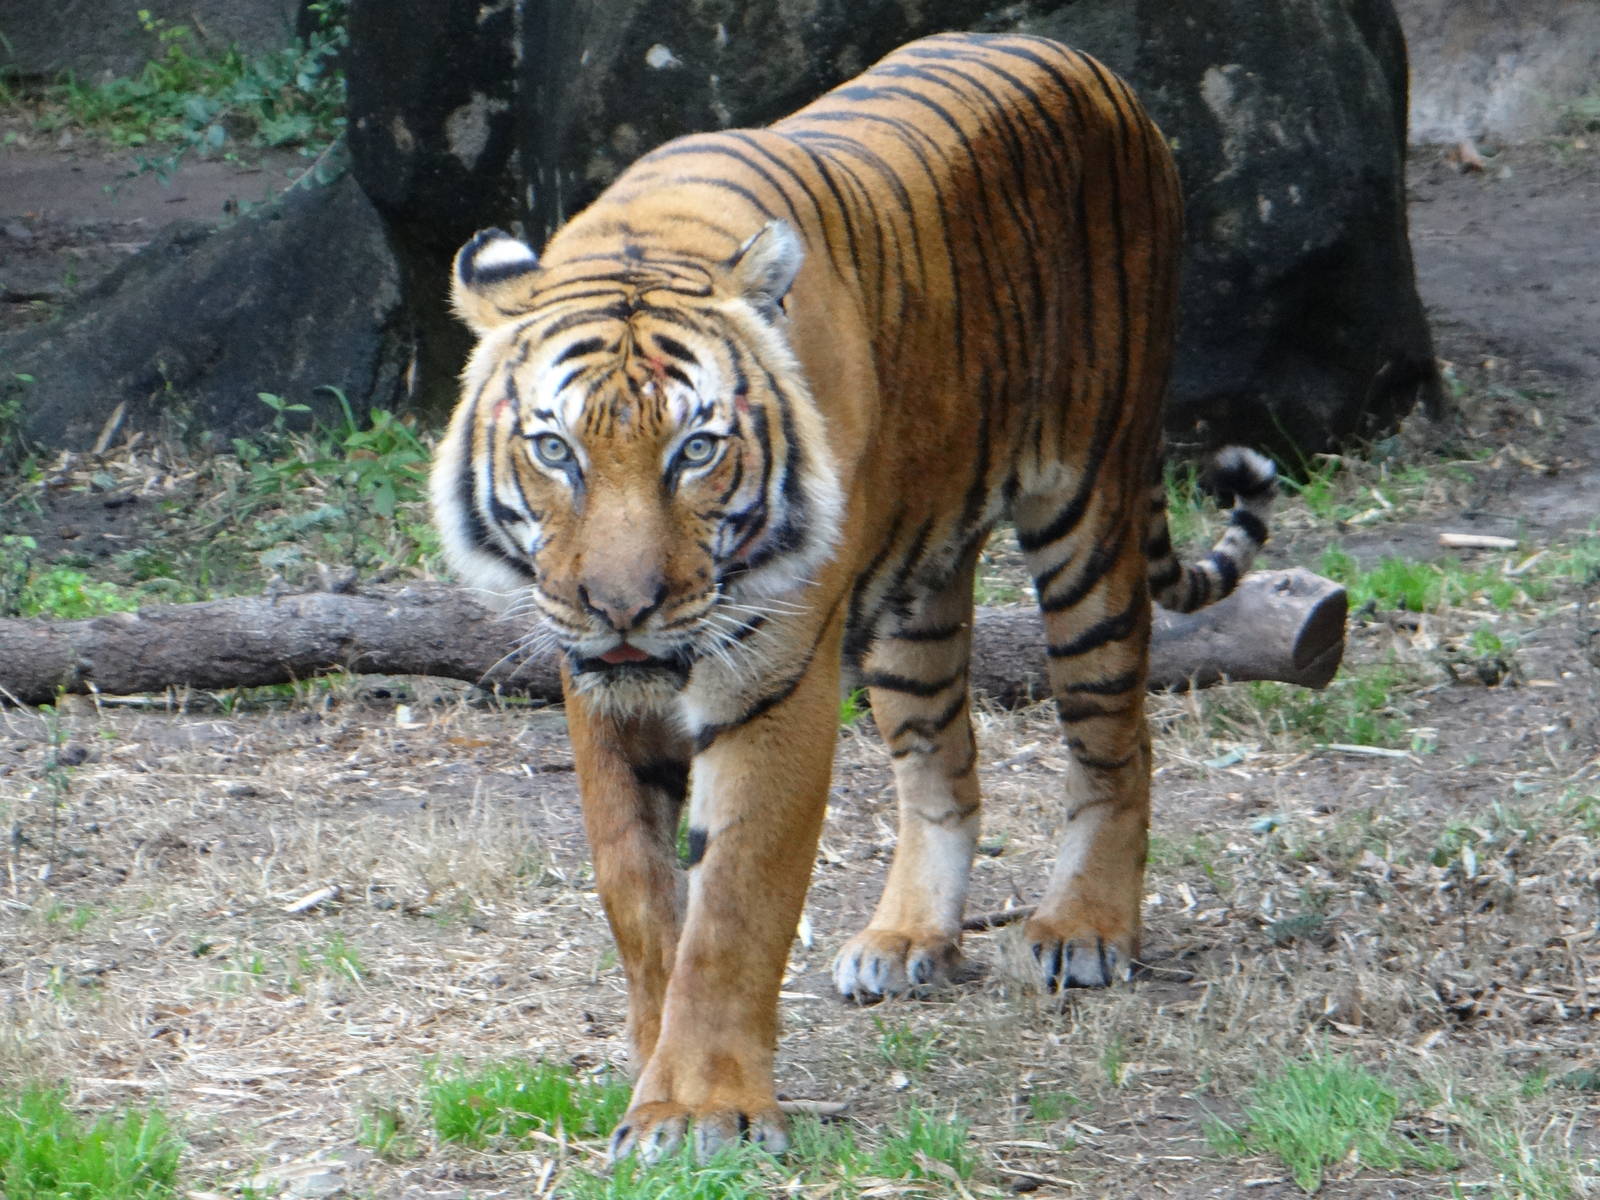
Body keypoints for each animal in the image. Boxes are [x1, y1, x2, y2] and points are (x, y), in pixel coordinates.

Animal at [430, 31, 1275, 1162]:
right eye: (555, 450)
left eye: (695, 450)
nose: (623, 607)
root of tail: (1080, 59)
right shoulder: (598, 689)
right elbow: (639, 895)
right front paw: (651, 1067)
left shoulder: (773, 677)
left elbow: (734, 905)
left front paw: (698, 1108)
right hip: (914, 601)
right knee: (942, 767)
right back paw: (907, 938)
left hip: (1087, 512)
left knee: (1115, 734)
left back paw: (1084, 929)